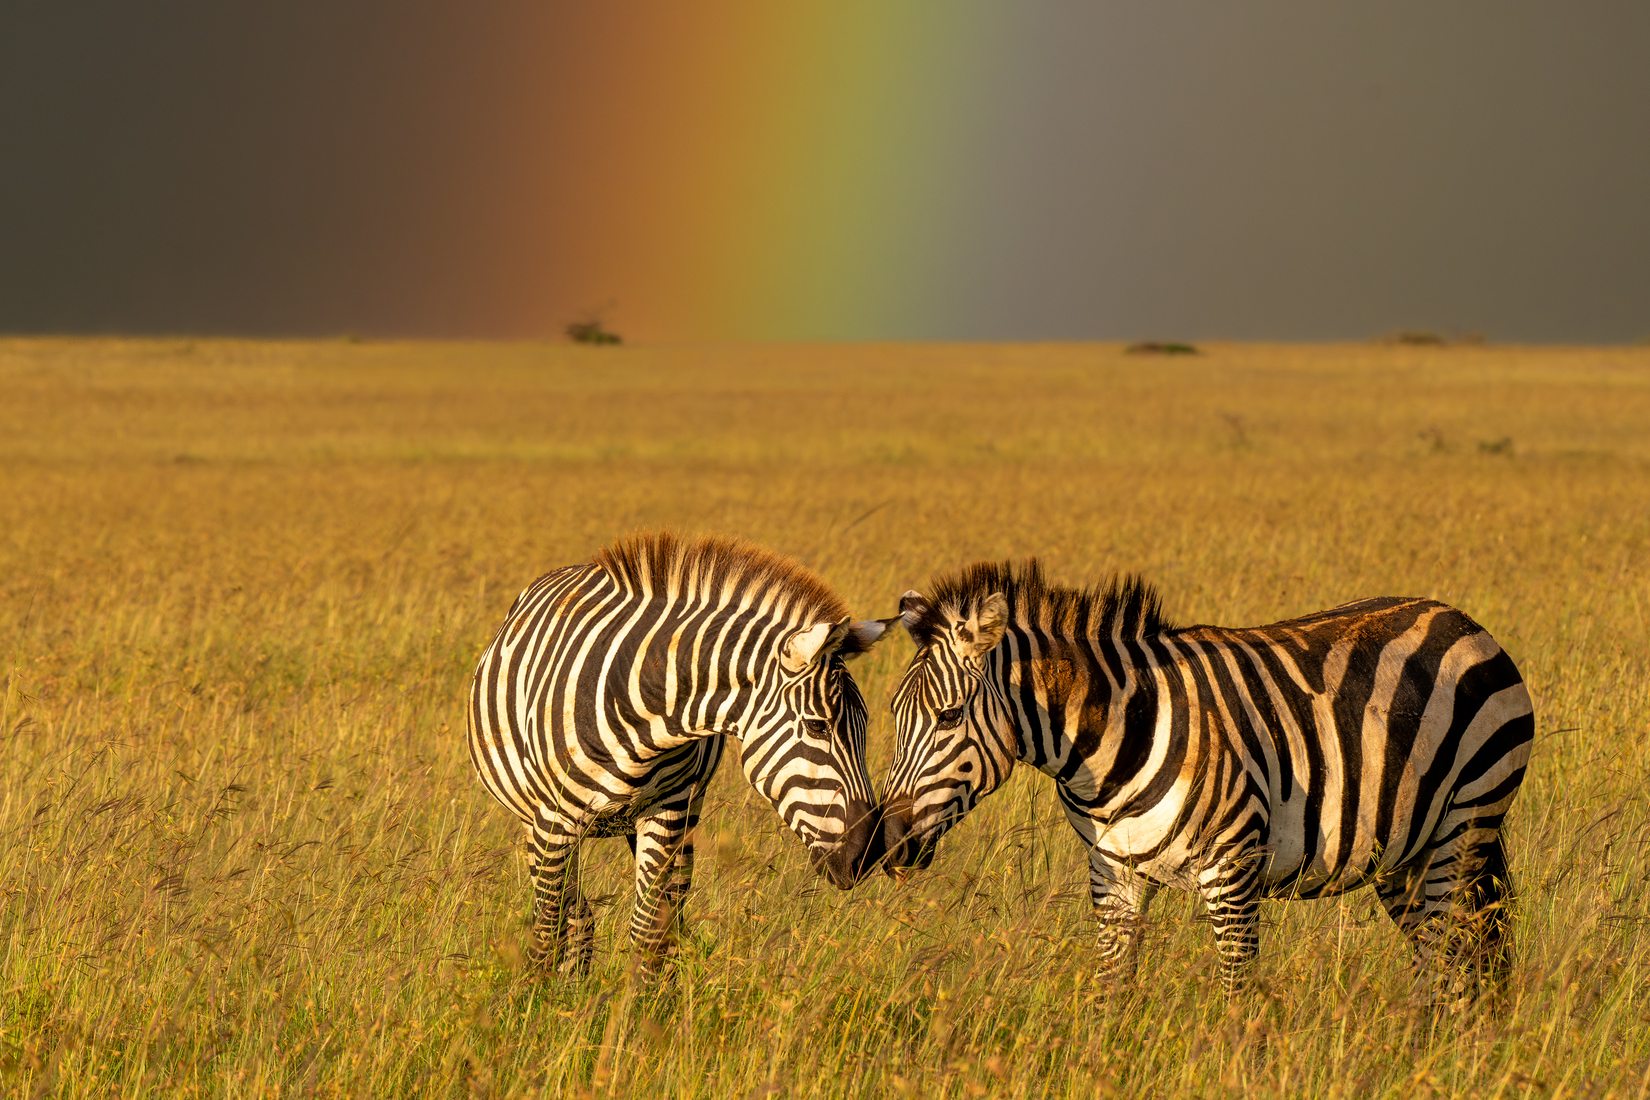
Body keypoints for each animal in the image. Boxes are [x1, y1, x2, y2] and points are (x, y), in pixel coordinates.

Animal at [468, 537, 891, 976]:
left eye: (866, 725)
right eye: (818, 726)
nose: (867, 855)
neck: (643, 698)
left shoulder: (668, 811)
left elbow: (647, 930)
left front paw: (641, 995)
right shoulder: (554, 820)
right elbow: (549, 928)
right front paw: (538, 992)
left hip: (681, 820)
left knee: (667, 911)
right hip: (536, 822)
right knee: (573, 912)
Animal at [884, 564, 1537, 1002]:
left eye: (948, 717)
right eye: (893, 716)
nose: (886, 844)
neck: (1116, 733)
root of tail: (1460, 619)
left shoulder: (1232, 869)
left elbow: (1236, 996)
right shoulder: (1112, 871)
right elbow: (1110, 990)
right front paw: (1100, 1063)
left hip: (1466, 823)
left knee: (1456, 957)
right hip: (1407, 851)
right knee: (1446, 959)